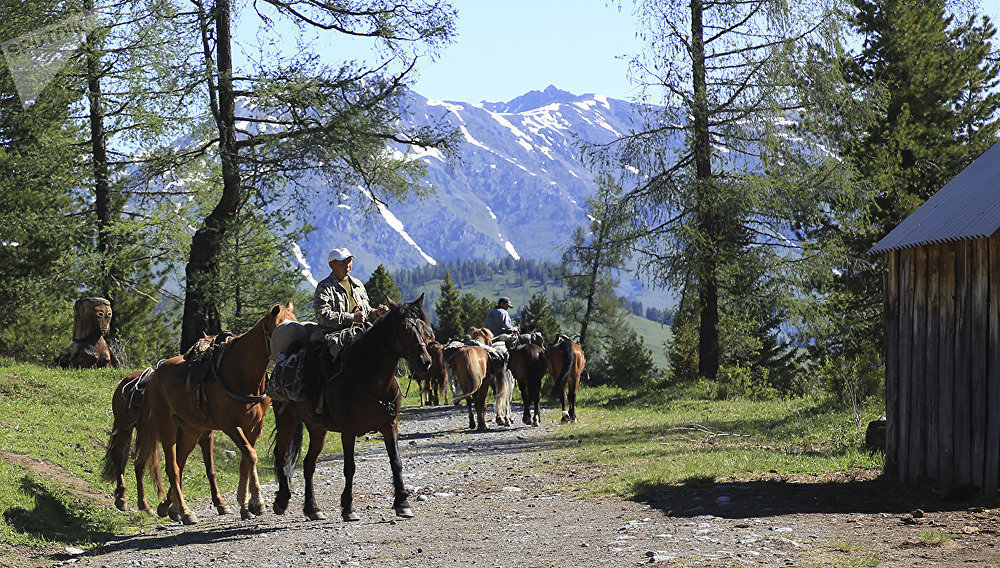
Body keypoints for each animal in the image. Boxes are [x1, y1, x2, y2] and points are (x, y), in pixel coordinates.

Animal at [132, 302, 292, 524]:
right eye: (279, 328)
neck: (242, 373)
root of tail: (155, 375)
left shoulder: (254, 426)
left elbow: (245, 460)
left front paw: (245, 505)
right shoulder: (230, 424)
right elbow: (250, 455)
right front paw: (257, 502)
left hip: (191, 431)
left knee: (180, 464)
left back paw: (169, 508)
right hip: (166, 425)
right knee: (173, 468)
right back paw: (185, 511)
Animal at [272, 296, 432, 520]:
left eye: (423, 327)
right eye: (404, 328)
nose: (425, 362)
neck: (372, 379)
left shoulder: (390, 425)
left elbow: (396, 462)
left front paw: (402, 503)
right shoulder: (348, 432)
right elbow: (350, 468)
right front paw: (348, 508)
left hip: (317, 429)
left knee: (308, 464)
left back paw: (313, 509)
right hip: (287, 421)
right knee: (281, 455)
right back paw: (282, 500)